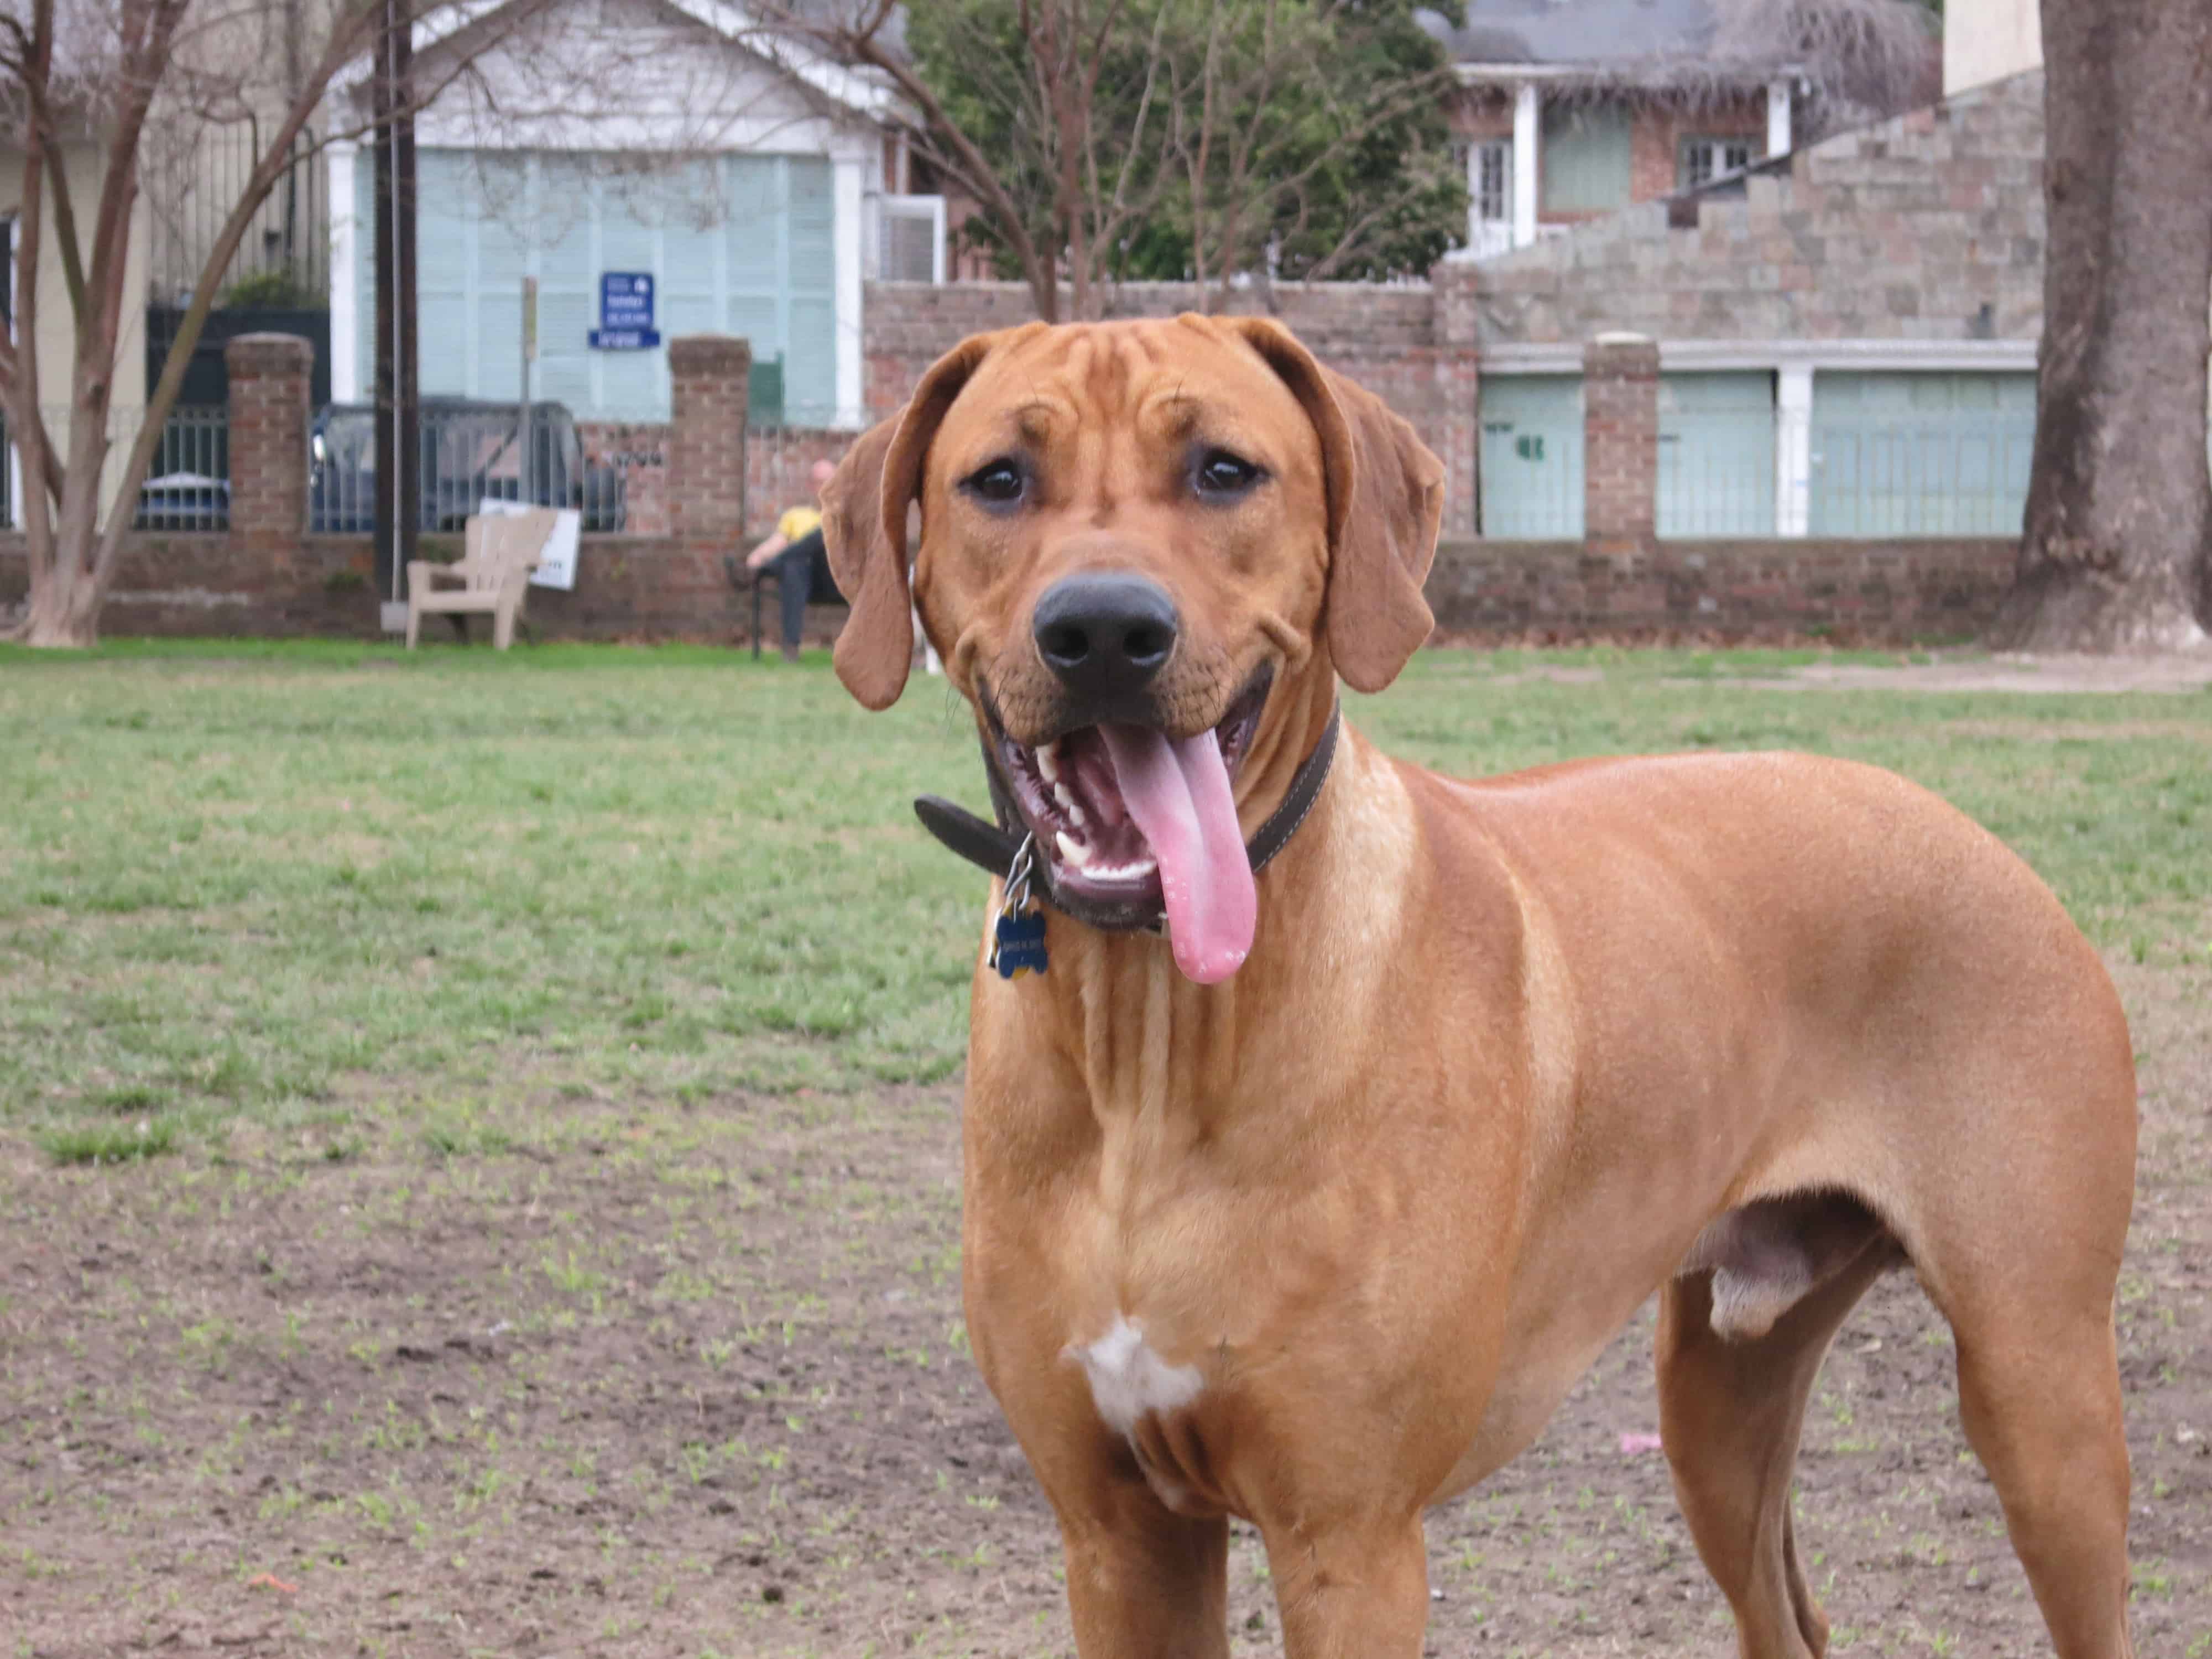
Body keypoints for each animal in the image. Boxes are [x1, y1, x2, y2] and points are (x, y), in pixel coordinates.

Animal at [823, 319, 2132, 1655]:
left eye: (1224, 471)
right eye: (997, 480)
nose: (1099, 631)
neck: (1156, 1034)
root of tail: (1978, 836)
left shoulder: (1349, 1540)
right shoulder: (1117, 1537)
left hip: (2040, 1391)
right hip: (1718, 1397)